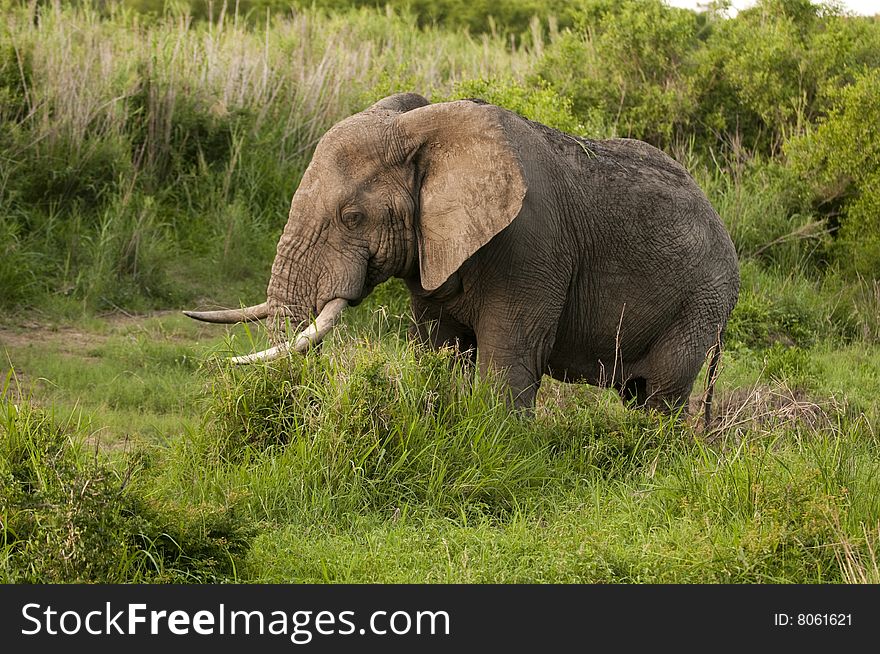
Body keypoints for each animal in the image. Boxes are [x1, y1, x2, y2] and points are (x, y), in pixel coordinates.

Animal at [184, 92, 736, 420]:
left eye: (352, 217)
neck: (424, 129)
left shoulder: (532, 246)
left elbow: (508, 359)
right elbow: (439, 350)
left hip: (700, 305)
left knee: (661, 396)